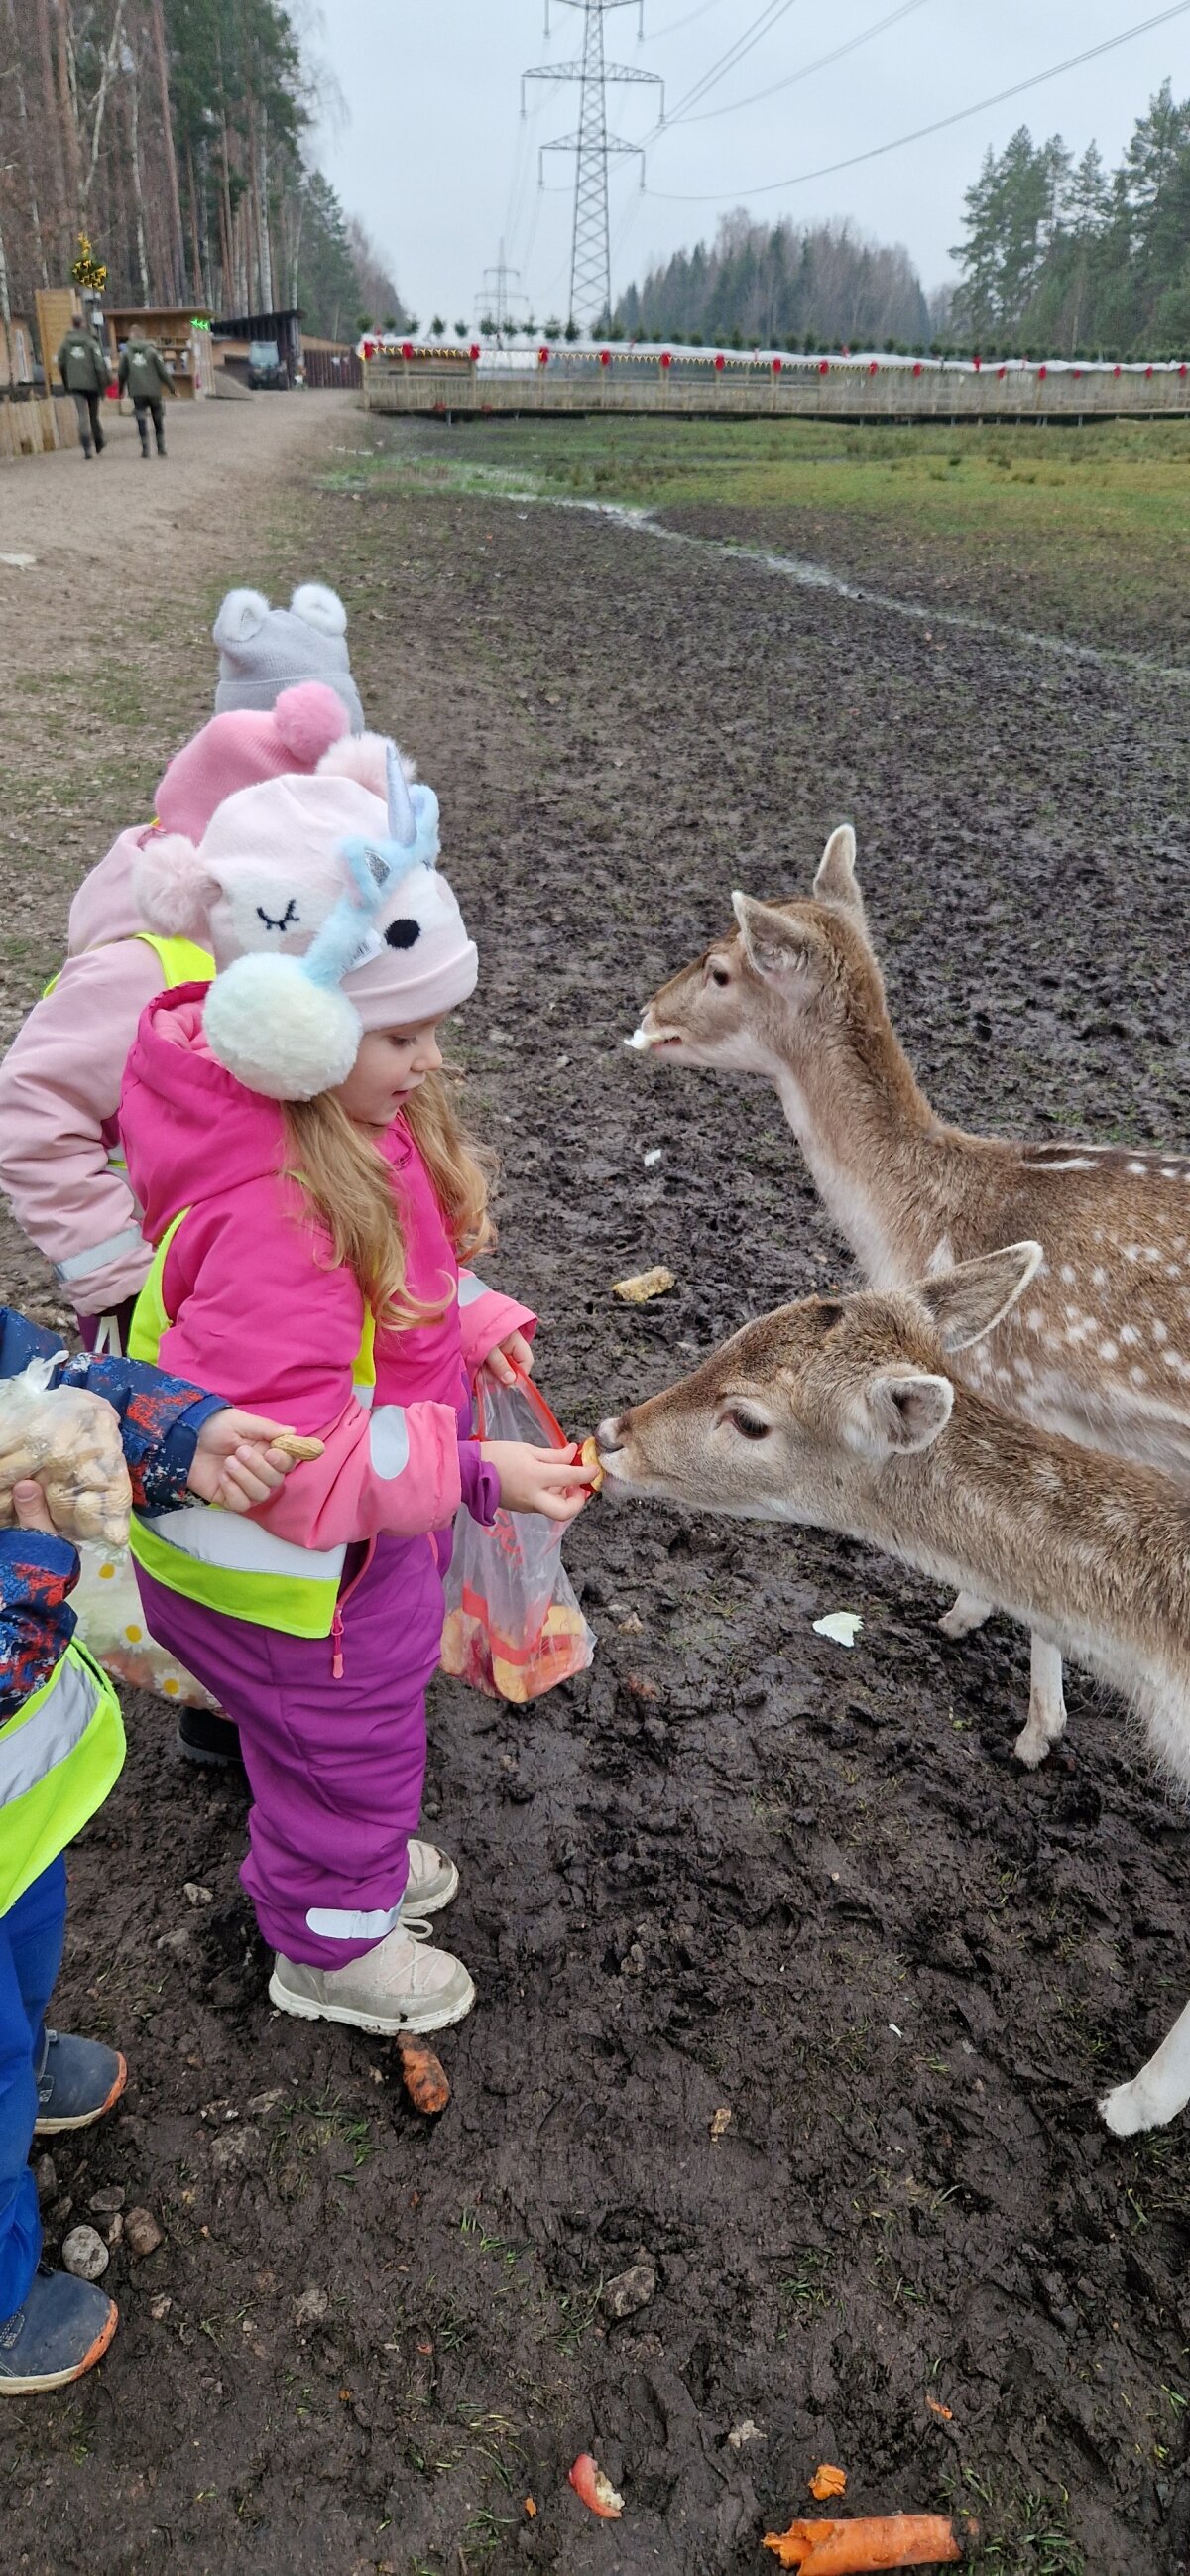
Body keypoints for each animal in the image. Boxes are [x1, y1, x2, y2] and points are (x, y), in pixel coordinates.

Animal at [629, 826, 1190, 1769]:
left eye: (720, 967)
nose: (643, 1014)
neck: (916, 1222)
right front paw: (973, 1616)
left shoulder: (1022, 1385)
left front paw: (1032, 1724)